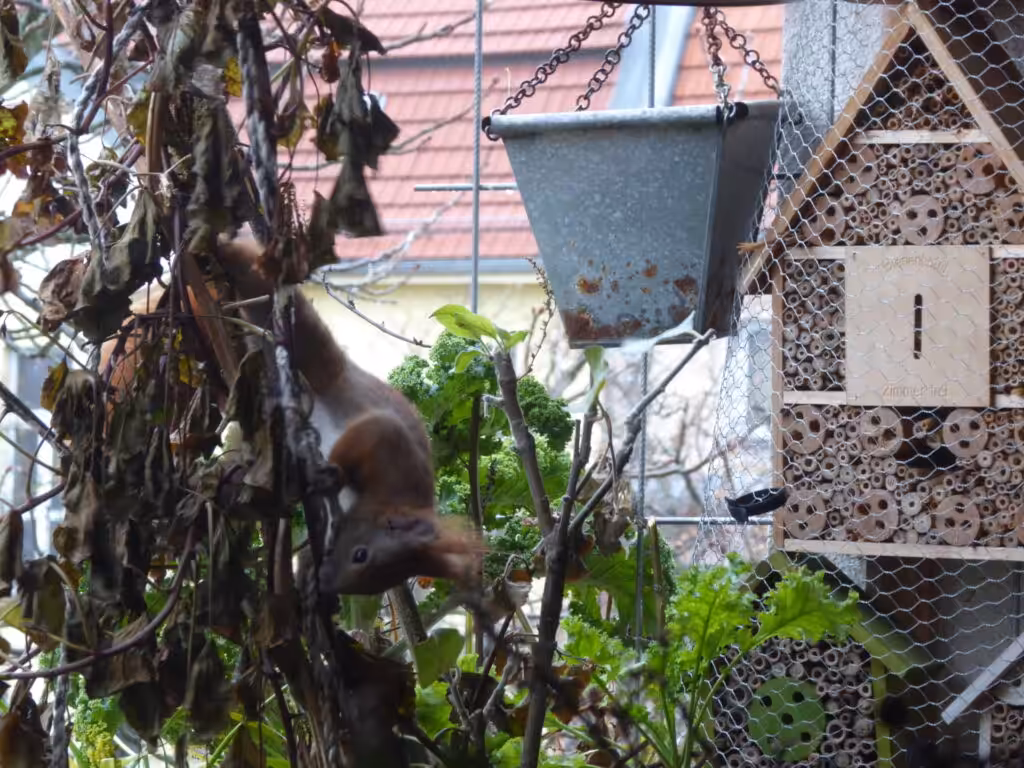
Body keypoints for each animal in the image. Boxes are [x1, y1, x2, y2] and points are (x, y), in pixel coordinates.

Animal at [98, 237, 480, 597]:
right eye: (361, 555)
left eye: (372, 586)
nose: (328, 583)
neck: (395, 496)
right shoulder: (387, 441)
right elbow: (363, 441)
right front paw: (331, 474)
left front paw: (308, 572)